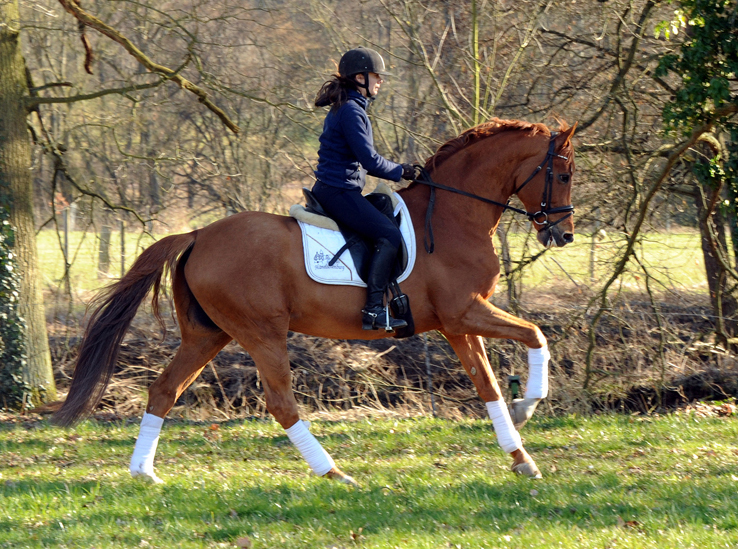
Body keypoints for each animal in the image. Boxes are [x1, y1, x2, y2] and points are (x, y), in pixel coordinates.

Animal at [54, 119, 576, 484]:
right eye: (564, 174)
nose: (564, 234)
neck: (453, 216)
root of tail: (200, 233)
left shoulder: (458, 324)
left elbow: (487, 386)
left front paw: (522, 457)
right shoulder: (465, 312)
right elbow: (536, 334)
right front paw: (529, 404)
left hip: (208, 334)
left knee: (164, 390)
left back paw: (144, 472)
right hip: (263, 332)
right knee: (281, 402)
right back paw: (334, 472)